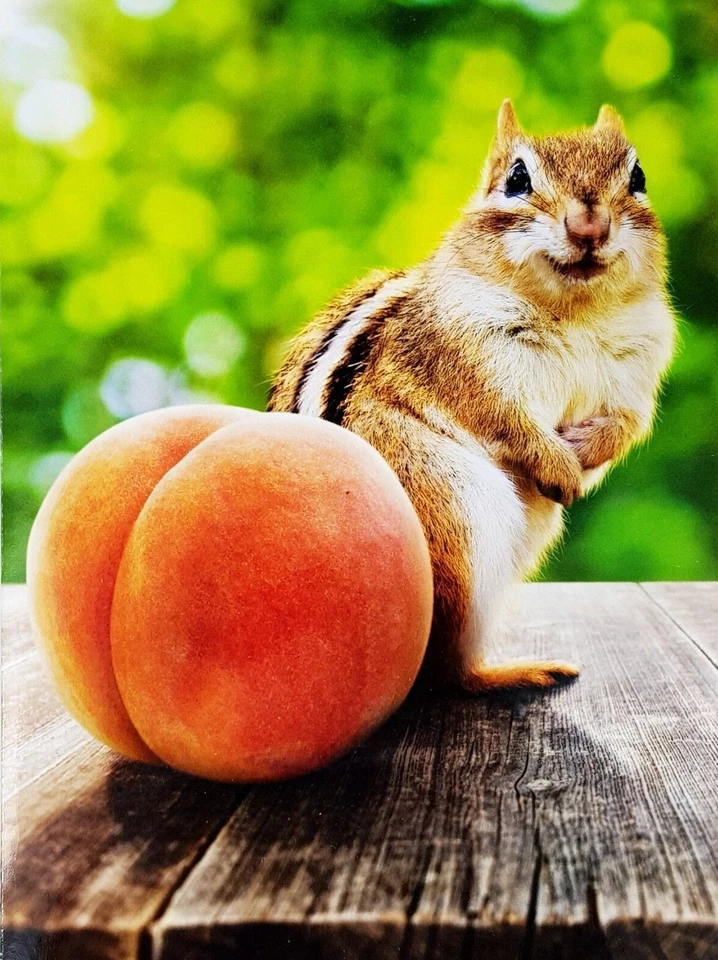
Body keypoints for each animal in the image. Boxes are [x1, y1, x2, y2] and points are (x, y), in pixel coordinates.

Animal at [268, 101, 676, 692]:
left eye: (638, 177)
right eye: (517, 179)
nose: (590, 225)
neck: (574, 314)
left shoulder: (638, 370)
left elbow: (626, 426)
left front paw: (584, 454)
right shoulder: (463, 363)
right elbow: (504, 419)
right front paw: (559, 465)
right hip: (451, 514)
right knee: (449, 673)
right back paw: (517, 672)